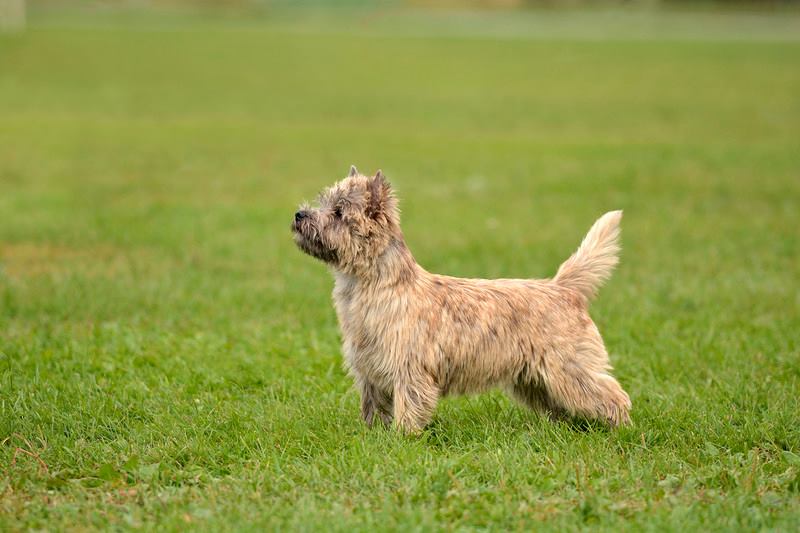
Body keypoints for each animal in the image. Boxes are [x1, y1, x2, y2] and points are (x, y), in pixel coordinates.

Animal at [292, 166, 632, 432]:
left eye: (338, 213)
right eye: (323, 202)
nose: (298, 214)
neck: (370, 287)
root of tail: (563, 287)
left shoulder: (409, 370)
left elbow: (408, 408)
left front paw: (402, 439)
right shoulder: (369, 372)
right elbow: (373, 408)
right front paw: (373, 436)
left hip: (569, 368)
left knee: (612, 394)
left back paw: (621, 428)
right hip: (535, 380)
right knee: (563, 405)